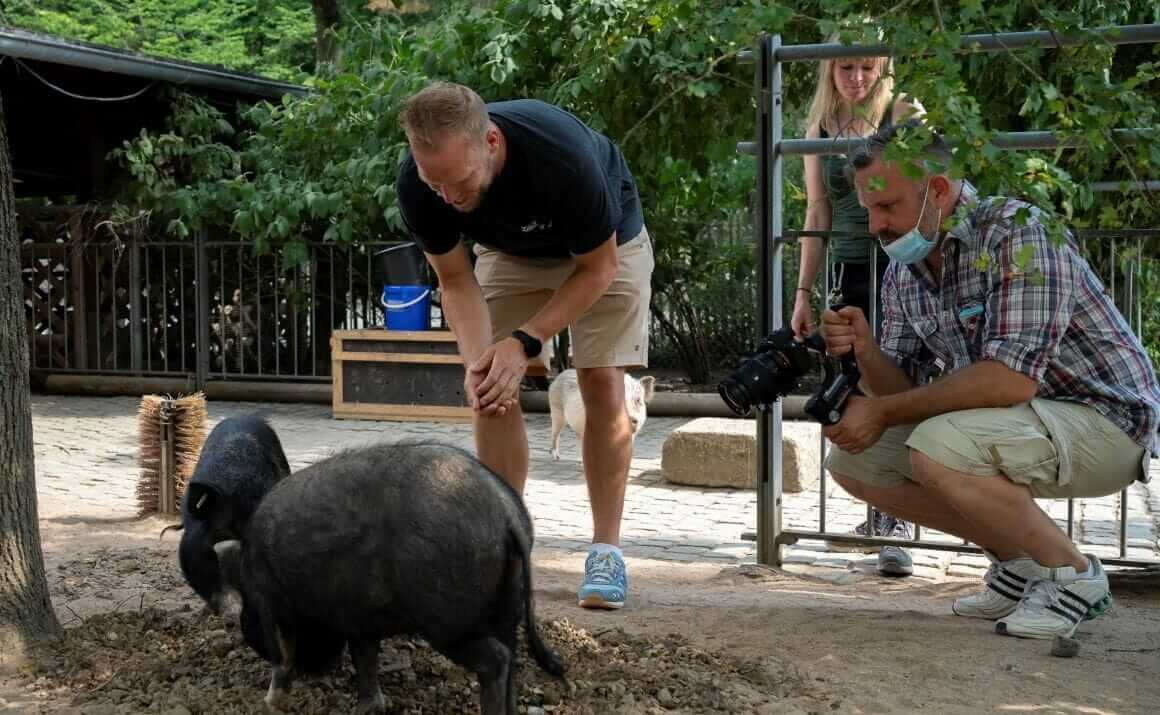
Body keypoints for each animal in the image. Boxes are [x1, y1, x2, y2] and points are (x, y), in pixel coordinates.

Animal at [215, 441, 568, 715]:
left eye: (248, 620)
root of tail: (506, 511)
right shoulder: (359, 619)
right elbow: (365, 659)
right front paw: (369, 706)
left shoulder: (271, 603)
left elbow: (282, 655)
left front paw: (270, 702)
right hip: (507, 606)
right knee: (512, 660)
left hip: (448, 620)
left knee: (496, 661)